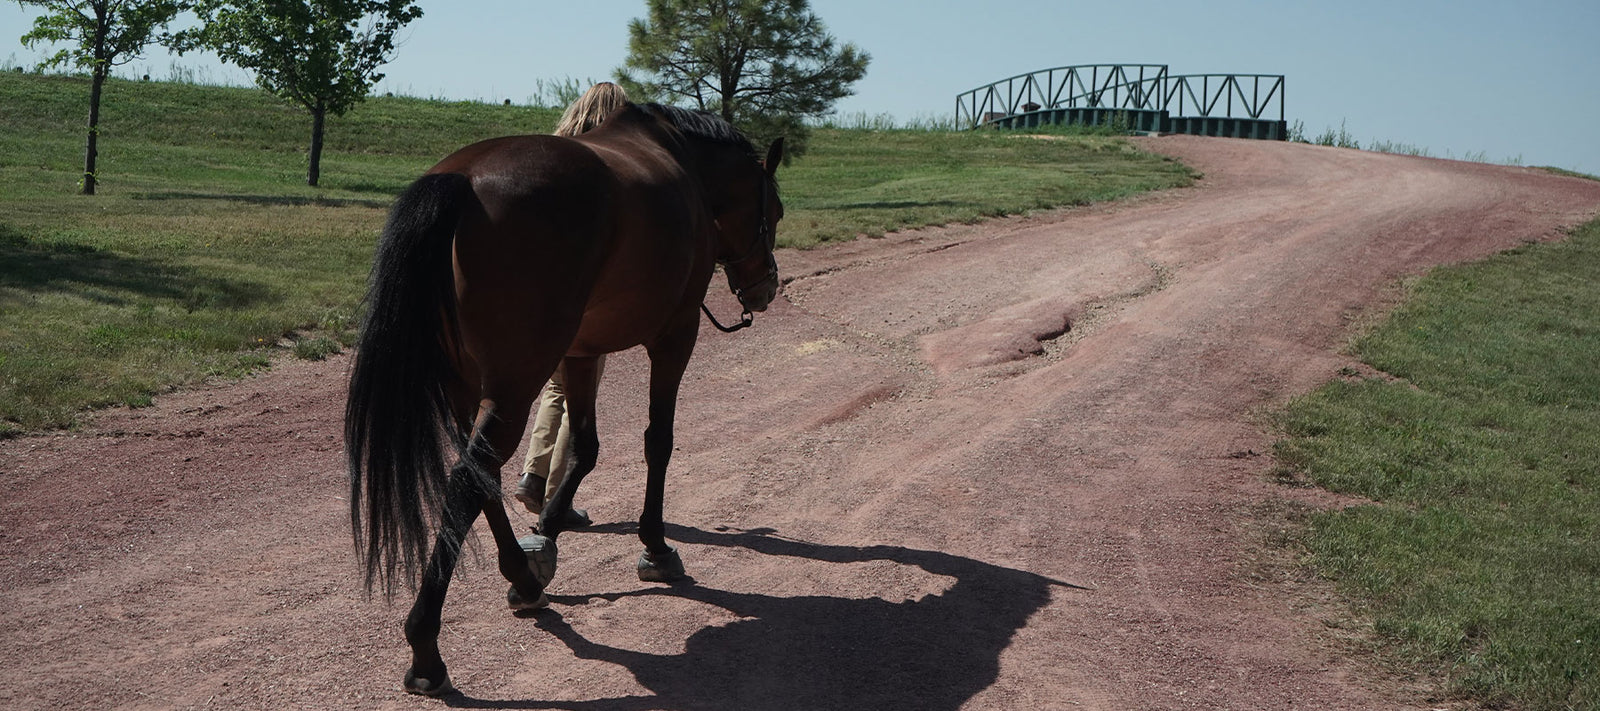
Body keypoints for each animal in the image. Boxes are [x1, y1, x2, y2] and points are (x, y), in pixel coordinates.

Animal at [344, 102, 784, 696]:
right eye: (775, 210)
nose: (766, 288)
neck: (683, 164)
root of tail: (461, 180)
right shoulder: (676, 335)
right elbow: (658, 441)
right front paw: (655, 545)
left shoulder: (578, 353)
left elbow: (584, 446)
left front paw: (547, 534)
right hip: (513, 385)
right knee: (469, 480)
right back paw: (426, 648)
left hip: (469, 389)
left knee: (478, 476)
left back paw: (524, 579)